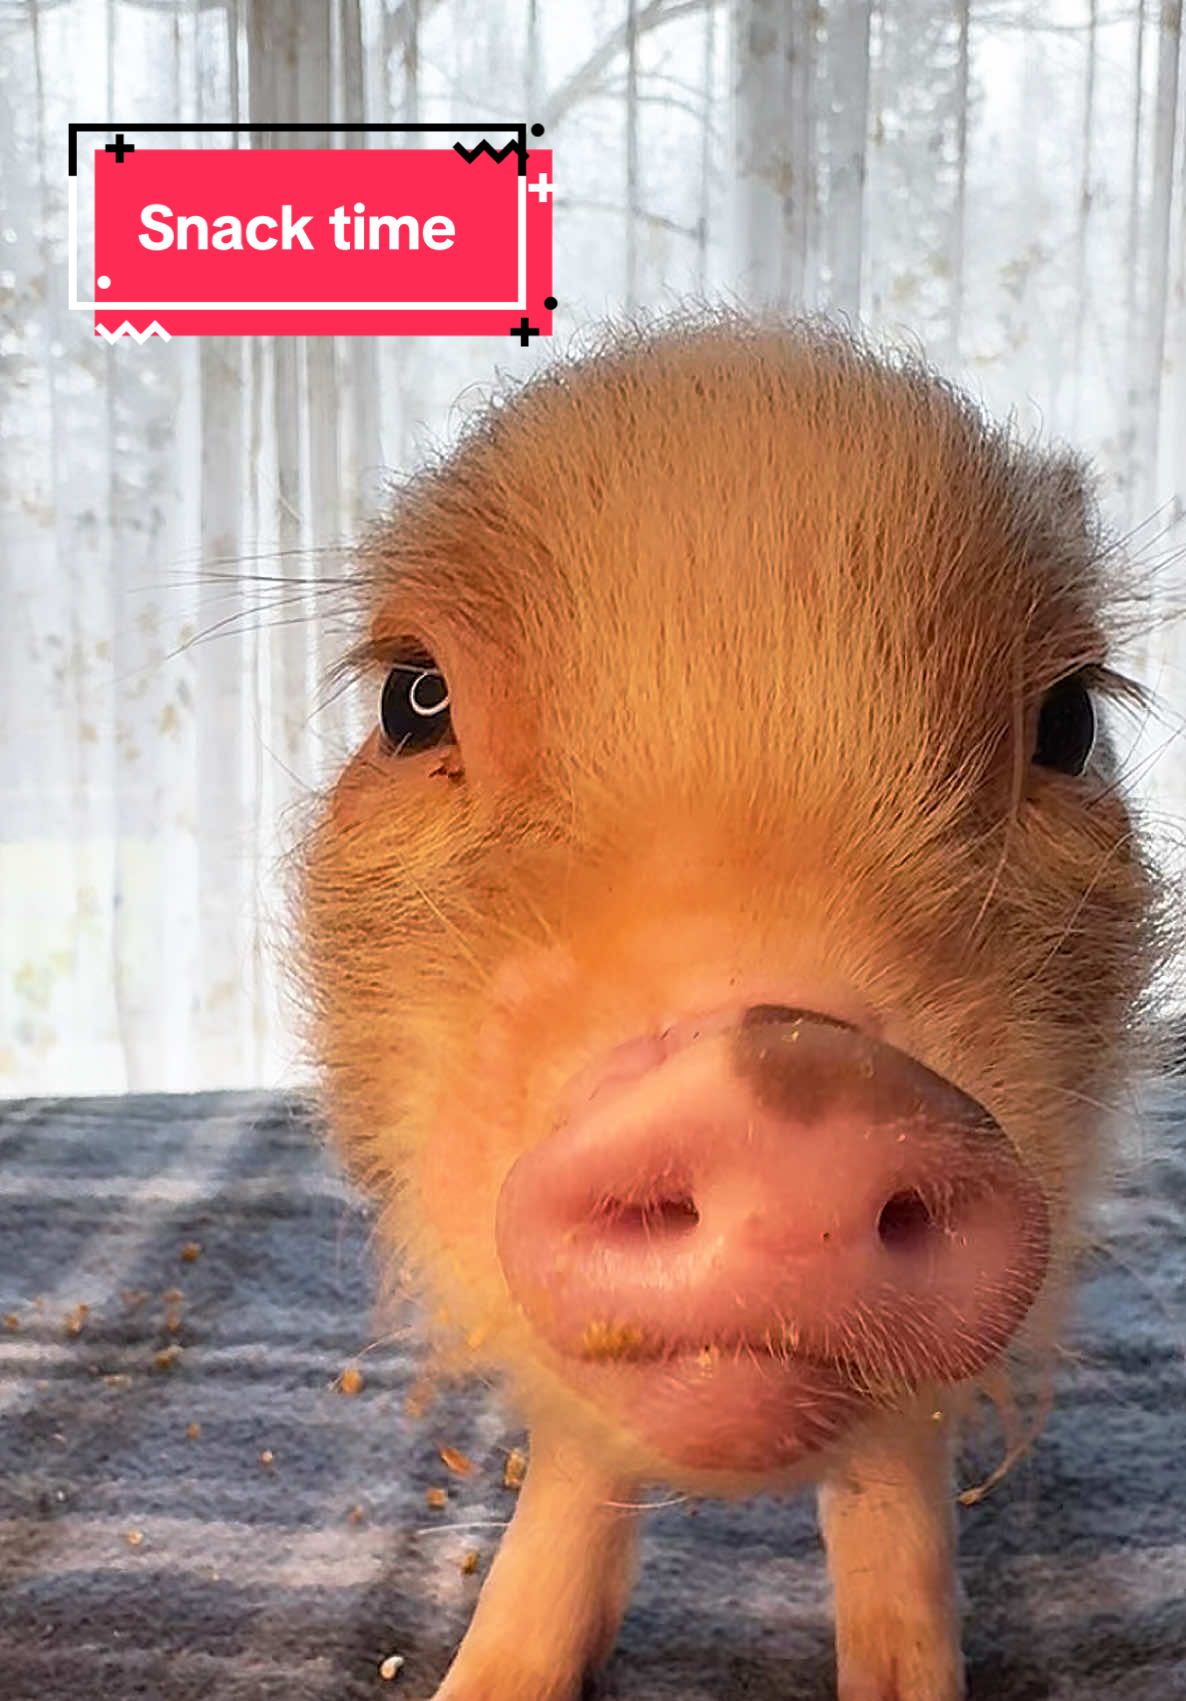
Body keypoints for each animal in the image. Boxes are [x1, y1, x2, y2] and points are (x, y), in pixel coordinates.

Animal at [297, 314, 1174, 1700]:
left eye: (1068, 722)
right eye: (412, 700)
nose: (793, 1073)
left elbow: (894, 1501)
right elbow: (573, 1476)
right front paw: (486, 1681)